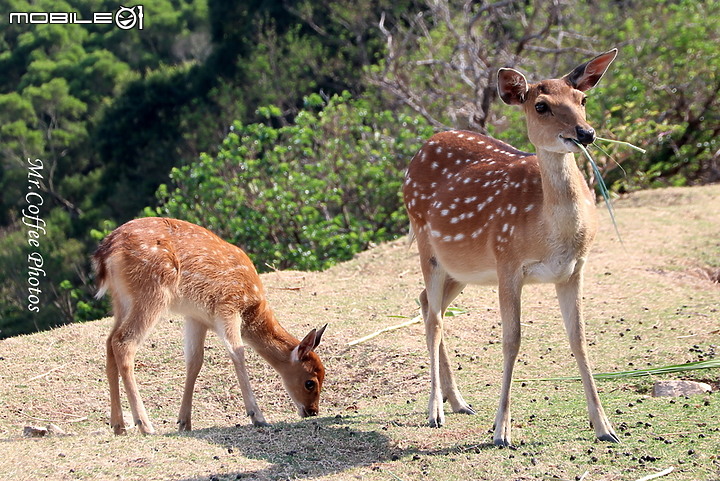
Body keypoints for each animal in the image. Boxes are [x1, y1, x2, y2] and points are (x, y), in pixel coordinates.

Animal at [91, 216, 328, 434]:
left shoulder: (197, 317)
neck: (252, 307)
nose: (312, 411)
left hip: (121, 299)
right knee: (124, 342)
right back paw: (145, 425)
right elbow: (237, 351)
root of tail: (104, 253)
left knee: (109, 342)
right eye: (310, 382)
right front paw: (258, 417)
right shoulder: (228, 306)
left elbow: (195, 361)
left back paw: (118, 425)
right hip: (152, 291)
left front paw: (184, 422)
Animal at [404, 49, 620, 446]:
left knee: (427, 302)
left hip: (462, 267)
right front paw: (501, 431)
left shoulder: (574, 270)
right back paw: (435, 410)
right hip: (427, 243)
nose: (586, 132)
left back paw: (458, 401)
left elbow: (579, 338)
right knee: (435, 318)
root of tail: (421, 150)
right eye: (541, 105)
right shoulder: (508, 262)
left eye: (582, 99)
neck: (551, 235)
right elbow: (511, 340)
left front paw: (604, 427)